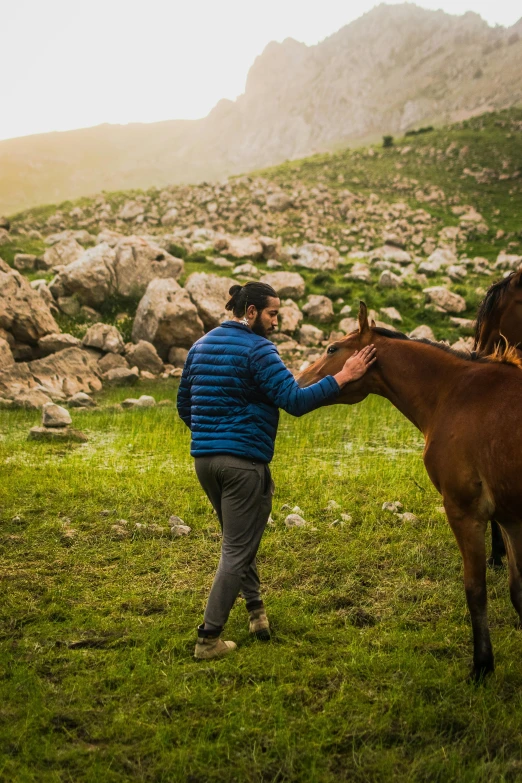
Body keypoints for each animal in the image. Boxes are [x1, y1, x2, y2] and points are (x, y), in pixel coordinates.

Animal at [298, 302, 522, 680]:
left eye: (332, 348)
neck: (455, 393)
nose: (297, 381)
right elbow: (518, 591)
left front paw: (482, 665)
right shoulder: (510, 519)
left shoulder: (465, 512)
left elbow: (476, 589)